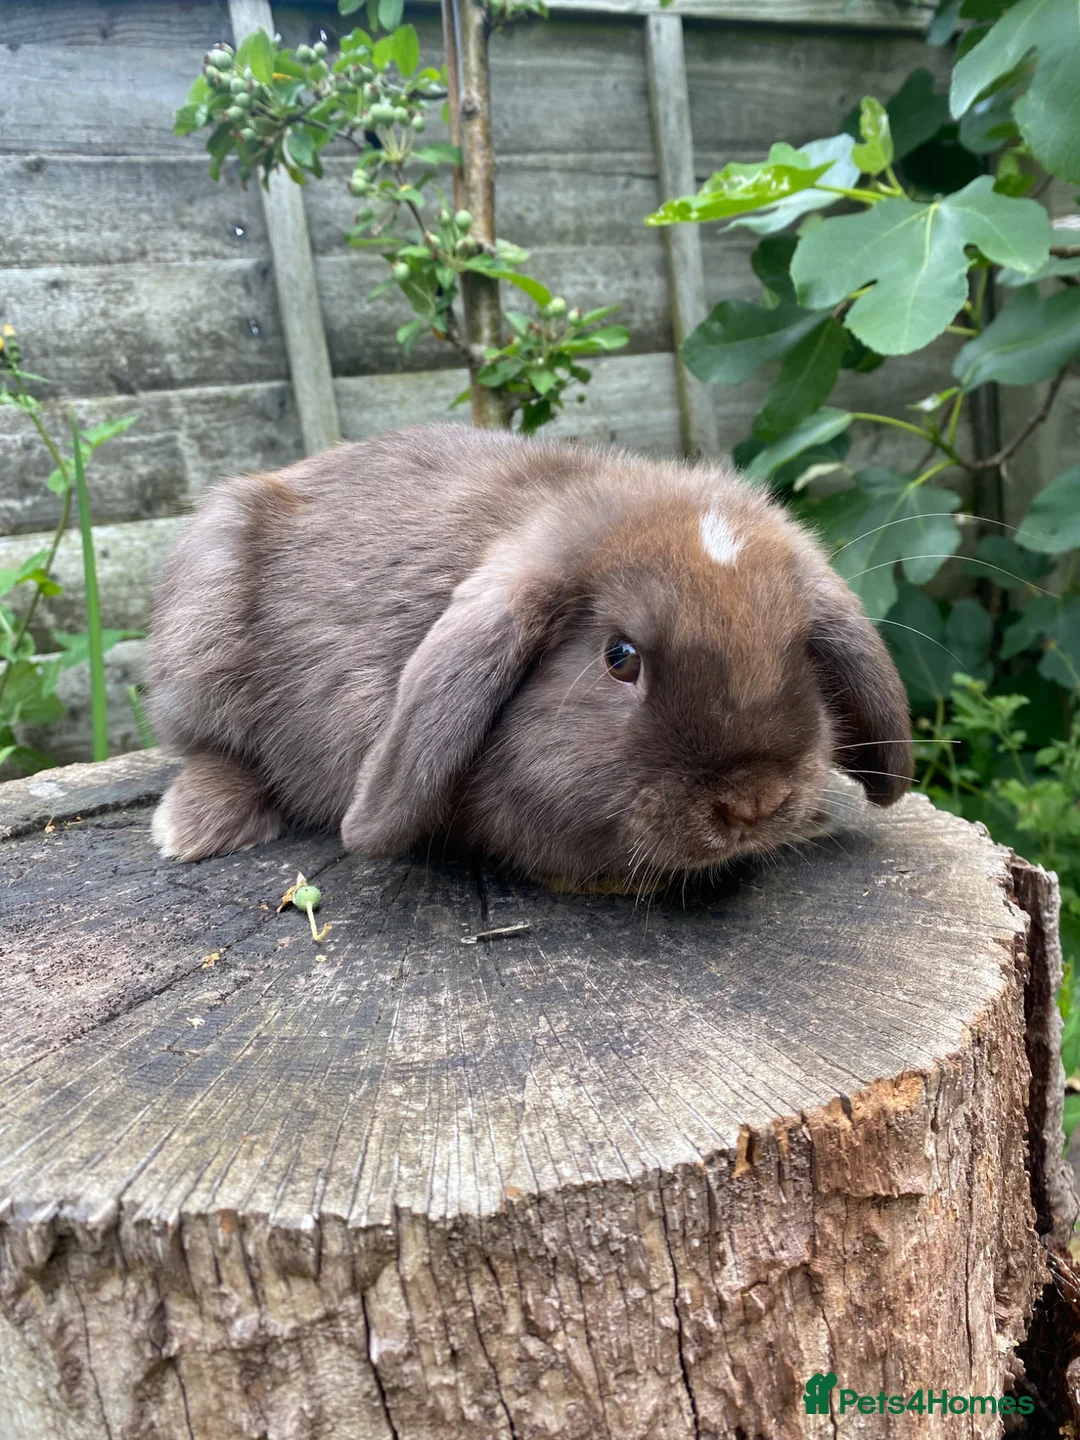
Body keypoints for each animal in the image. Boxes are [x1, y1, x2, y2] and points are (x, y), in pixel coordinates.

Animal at [148, 422, 912, 887]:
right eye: (620, 658)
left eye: (800, 649)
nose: (754, 803)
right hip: (202, 619)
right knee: (213, 748)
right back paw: (195, 826)